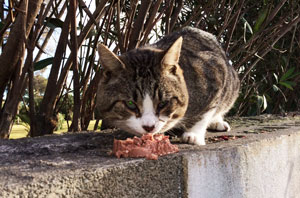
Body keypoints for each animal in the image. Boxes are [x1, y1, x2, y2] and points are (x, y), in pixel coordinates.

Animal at [95, 26, 239, 145]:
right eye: (130, 104)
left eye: (163, 103)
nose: (149, 127)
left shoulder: (215, 73)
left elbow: (205, 113)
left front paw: (193, 135)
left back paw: (217, 121)